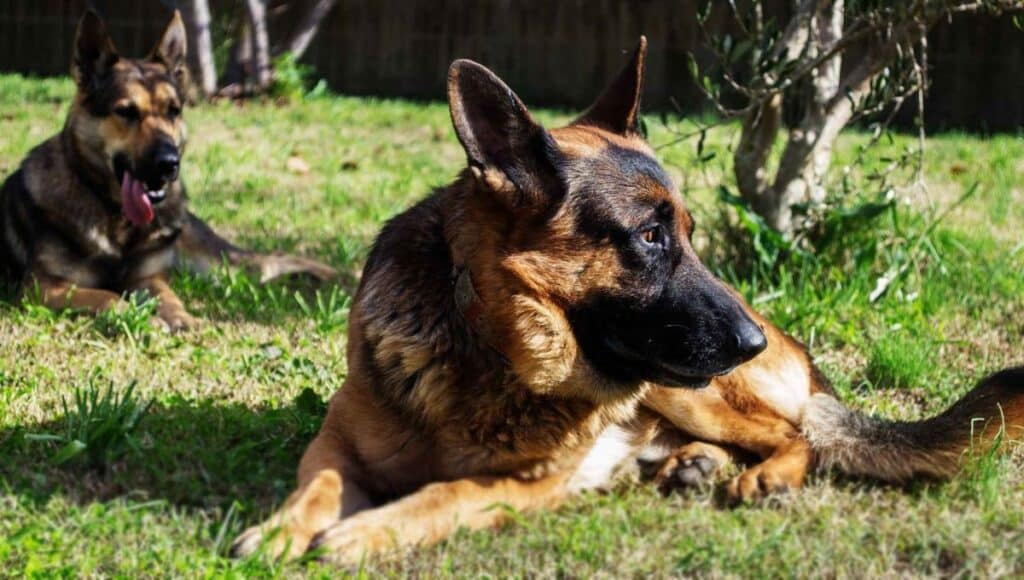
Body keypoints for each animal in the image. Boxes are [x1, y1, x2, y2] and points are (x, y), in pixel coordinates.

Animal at [0, 10, 335, 332]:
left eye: (173, 111)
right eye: (126, 112)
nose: (169, 163)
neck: (115, 216)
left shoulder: (149, 279)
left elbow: (169, 297)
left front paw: (181, 317)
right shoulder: (44, 288)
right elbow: (107, 296)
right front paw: (142, 318)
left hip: (220, 263)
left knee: (271, 260)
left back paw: (337, 276)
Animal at [232, 38, 1024, 565]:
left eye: (691, 234)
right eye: (649, 236)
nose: (751, 342)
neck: (486, 346)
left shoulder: (526, 484)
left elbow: (444, 496)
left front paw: (365, 533)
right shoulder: (336, 441)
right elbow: (317, 484)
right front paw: (278, 530)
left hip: (691, 387)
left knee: (797, 434)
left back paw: (762, 474)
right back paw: (689, 465)